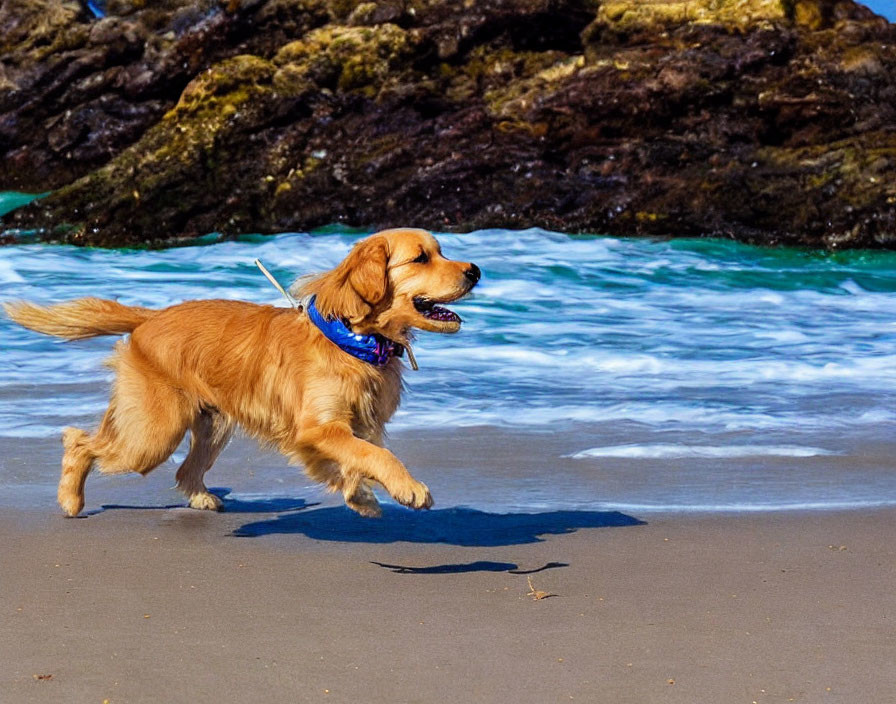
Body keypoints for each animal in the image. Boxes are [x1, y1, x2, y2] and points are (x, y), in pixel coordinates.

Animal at [3, 228, 480, 520]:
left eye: (440, 251)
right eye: (421, 258)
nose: (476, 270)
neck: (351, 340)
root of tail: (150, 318)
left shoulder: (356, 427)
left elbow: (358, 459)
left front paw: (359, 497)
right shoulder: (320, 427)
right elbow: (377, 457)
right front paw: (409, 489)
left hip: (212, 426)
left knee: (183, 470)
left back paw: (201, 497)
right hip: (154, 434)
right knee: (79, 441)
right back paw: (71, 498)